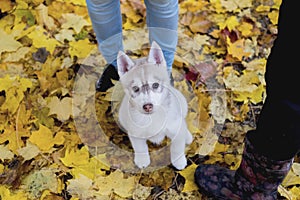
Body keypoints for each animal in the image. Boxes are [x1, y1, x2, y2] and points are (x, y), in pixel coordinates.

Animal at [116, 41, 193, 170]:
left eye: (155, 85)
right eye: (135, 89)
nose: (148, 106)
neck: (153, 117)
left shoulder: (175, 127)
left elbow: (177, 147)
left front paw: (178, 161)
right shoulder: (135, 132)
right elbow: (140, 147)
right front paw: (142, 160)